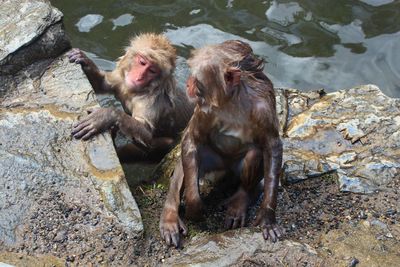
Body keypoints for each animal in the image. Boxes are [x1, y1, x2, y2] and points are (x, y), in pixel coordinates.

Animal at [66, 33, 193, 161]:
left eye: (152, 71)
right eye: (142, 62)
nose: (139, 77)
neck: (135, 92)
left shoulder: (153, 101)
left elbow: (146, 132)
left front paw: (106, 115)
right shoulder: (121, 79)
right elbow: (103, 83)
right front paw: (85, 60)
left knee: (164, 142)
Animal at [159, 40, 284, 249]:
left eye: (197, 79)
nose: (188, 83)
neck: (232, 101)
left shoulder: (264, 110)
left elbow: (272, 148)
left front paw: (267, 217)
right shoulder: (204, 109)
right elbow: (191, 140)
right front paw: (194, 205)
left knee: (254, 154)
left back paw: (242, 199)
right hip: (213, 162)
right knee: (190, 158)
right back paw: (170, 216)